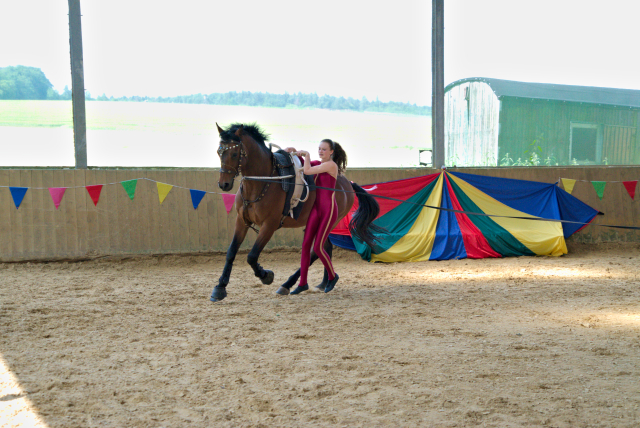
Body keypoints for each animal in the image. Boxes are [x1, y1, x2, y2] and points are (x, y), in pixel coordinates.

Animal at [210, 122, 380, 302]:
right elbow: (231, 252)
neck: (262, 181)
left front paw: (266, 276)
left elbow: (252, 256)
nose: (224, 184)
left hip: (331, 220)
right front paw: (220, 288)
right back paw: (324, 283)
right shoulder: (241, 220)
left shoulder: (269, 225)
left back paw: (290, 284)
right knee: (324, 248)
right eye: (219, 152)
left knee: (315, 250)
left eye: (234, 153)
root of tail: (347, 182)